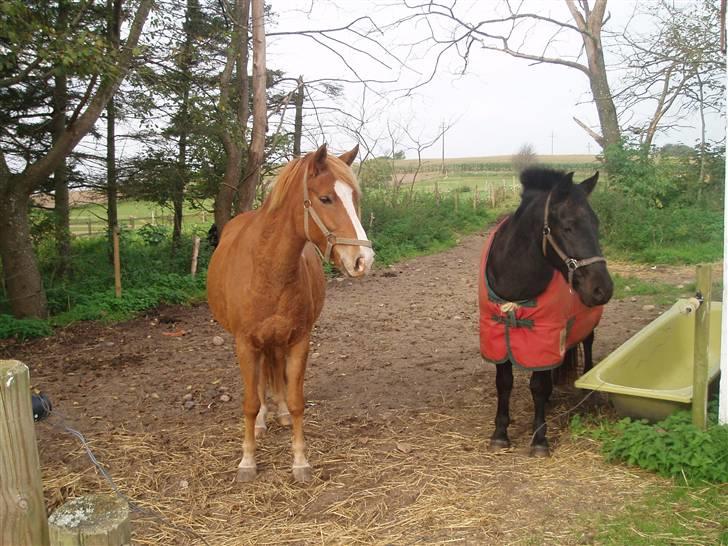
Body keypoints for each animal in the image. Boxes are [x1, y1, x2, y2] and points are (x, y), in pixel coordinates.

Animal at [206, 144, 372, 480]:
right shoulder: (245, 344)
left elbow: (296, 402)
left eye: (354, 197)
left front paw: (300, 461)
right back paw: (261, 423)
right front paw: (247, 461)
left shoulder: (299, 341)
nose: (364, 259)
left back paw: (278, 413)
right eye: (326, 198)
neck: (268, 268)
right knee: (259, 385)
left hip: (278, 340)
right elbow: (249, 402)